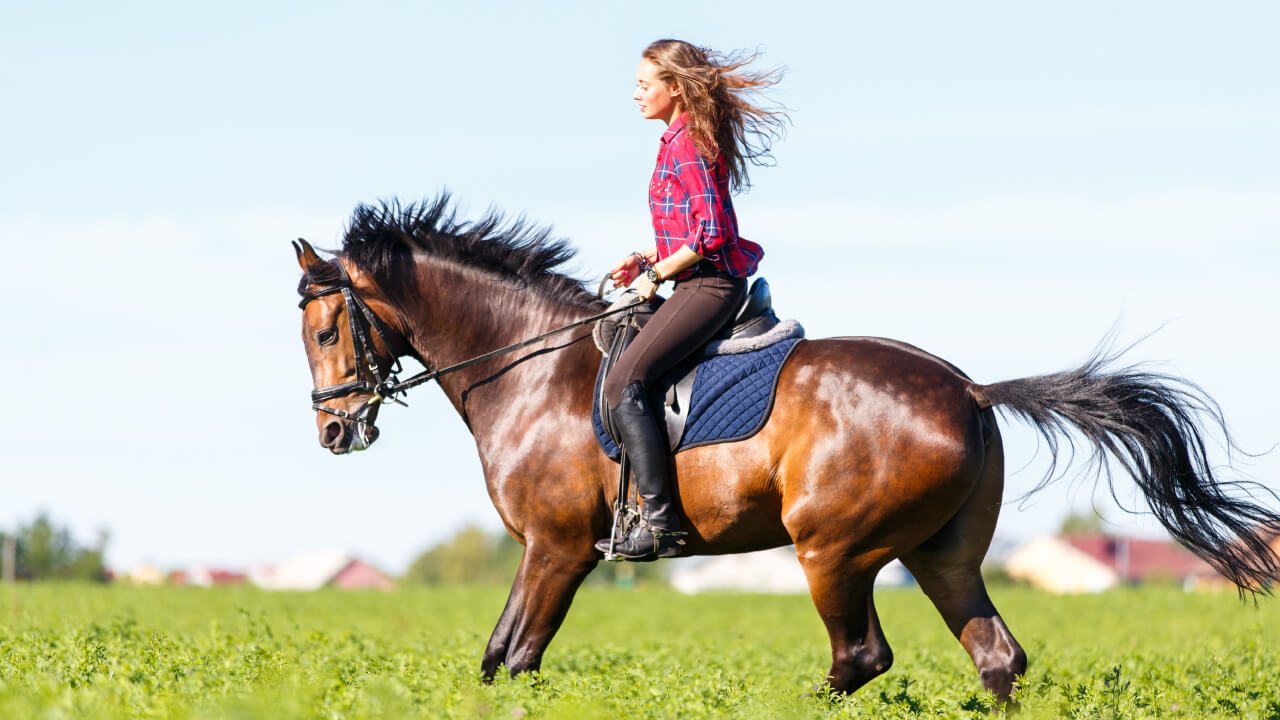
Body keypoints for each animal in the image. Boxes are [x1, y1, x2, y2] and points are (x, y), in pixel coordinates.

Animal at [292, 196, 1280, 699]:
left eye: (326, 331)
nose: (335, 431)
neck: (528, 368)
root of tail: (967, 388)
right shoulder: (549, 551)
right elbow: (497, 660)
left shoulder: (560, 549)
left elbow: (518, 658)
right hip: (940, 553)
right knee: (995, 656)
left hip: (833, 550)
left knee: (860, 660)